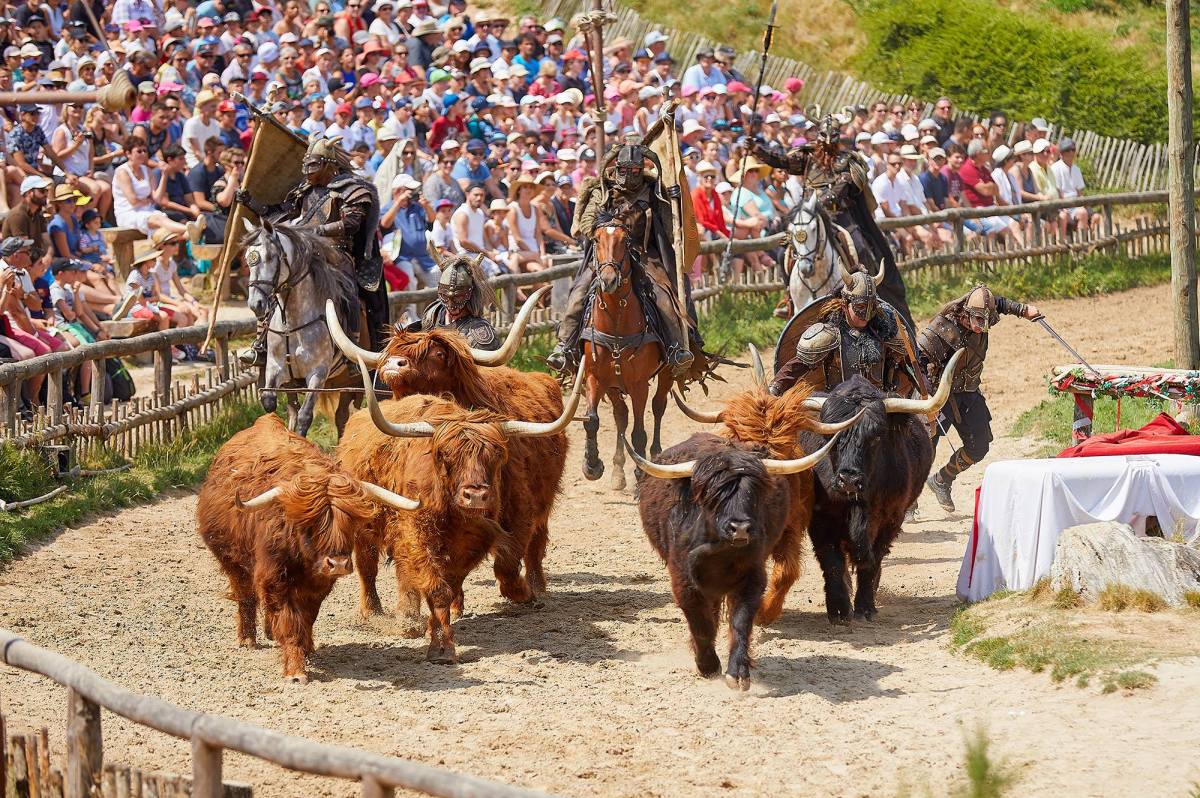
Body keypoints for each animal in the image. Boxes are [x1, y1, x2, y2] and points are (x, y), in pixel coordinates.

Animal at [580, 208, 676, 489]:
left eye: (626, 241)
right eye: (597, 239)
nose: (609, 280)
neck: (616, 321)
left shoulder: (638, 384)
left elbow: (639, 433)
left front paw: (641, 472)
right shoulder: (595, 377)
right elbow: (592, 420)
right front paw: (592, 465)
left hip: (667, 373)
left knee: (658, 406)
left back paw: (654, 457)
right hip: (614, 385)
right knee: (620, 415)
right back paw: (618, 470)